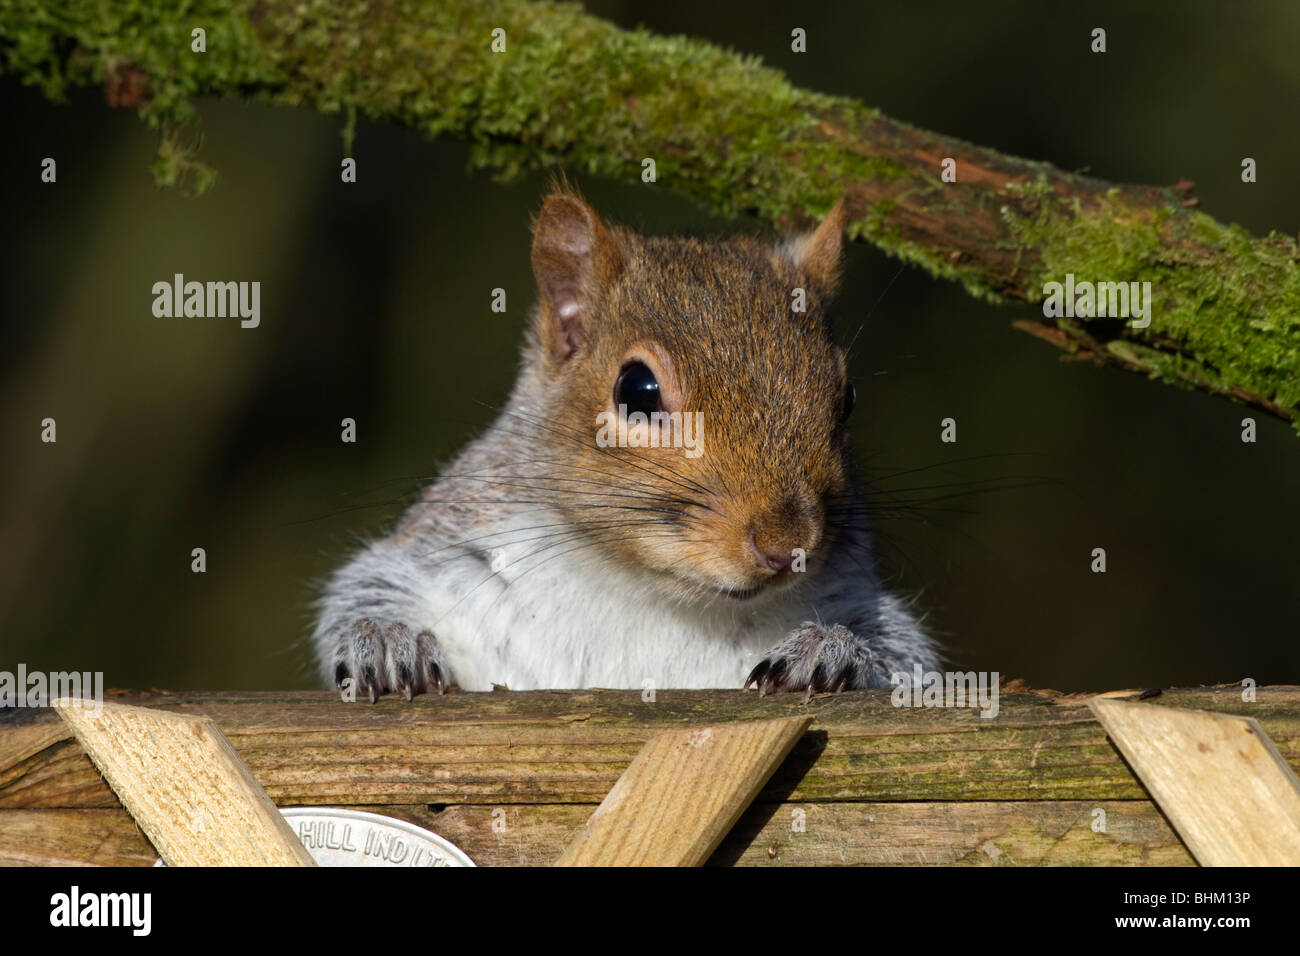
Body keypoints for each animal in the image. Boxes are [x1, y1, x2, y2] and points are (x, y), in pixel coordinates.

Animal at [314, 183, 946, 697]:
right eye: (637, 390)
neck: (648, 591)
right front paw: (385, 642)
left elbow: (905, 658)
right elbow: (364, 588)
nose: (786, 544)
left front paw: (831, 651)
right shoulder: (453, 547)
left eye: (847, 397)